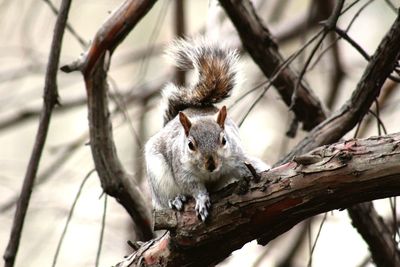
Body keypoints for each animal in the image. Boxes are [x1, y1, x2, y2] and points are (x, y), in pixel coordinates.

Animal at [145, 38, 268, 222]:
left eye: (224, 140)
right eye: (190, 145)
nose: (211, 164)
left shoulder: (238, 159)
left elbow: (247, 168)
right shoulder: (182, 170)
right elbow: (193, 186)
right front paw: (202, 199)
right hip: (158, 177)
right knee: (164, 199)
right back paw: (176, 199)